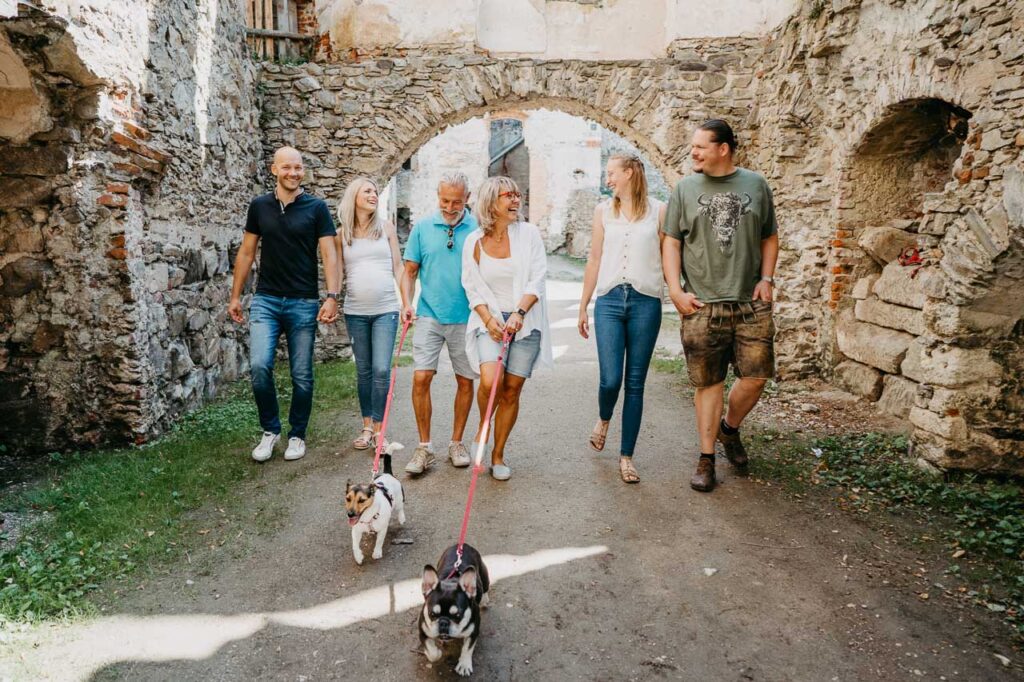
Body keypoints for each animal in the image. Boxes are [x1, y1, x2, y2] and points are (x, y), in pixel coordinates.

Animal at [419, 543, 490, 677]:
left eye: (458, 616)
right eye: (432, 614)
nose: (443, 623)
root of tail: (463, 545)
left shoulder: (473, 632)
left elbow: (467, 649)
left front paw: (464, 665)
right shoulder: (423, 631)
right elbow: (432, 653)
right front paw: (437, 652)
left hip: (484, 575)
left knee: (485, 588)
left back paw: (484, 600)